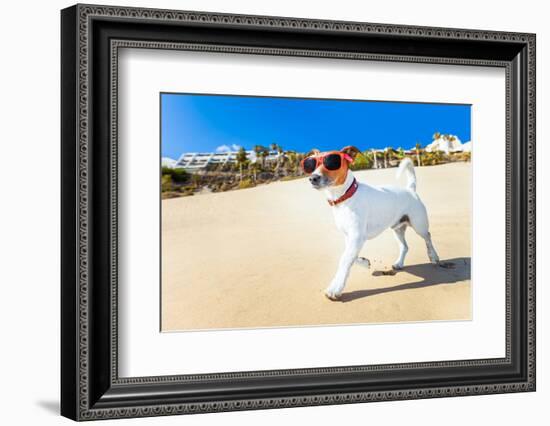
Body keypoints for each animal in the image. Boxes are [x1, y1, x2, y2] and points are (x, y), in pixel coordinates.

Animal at [304, 148, 442, 302]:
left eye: (332, 162)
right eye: (312, 165)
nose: (313, 178)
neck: (345, 197)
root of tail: (410, 189)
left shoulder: (357, 237)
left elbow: (344, 259)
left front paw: (335, 288)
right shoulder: (350, 237)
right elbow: (350, 256)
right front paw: (365, 262)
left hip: (419, 225)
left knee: (428, 237)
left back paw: (433, 256)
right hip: (397, 228)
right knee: (405, 246)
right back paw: (399, 263)